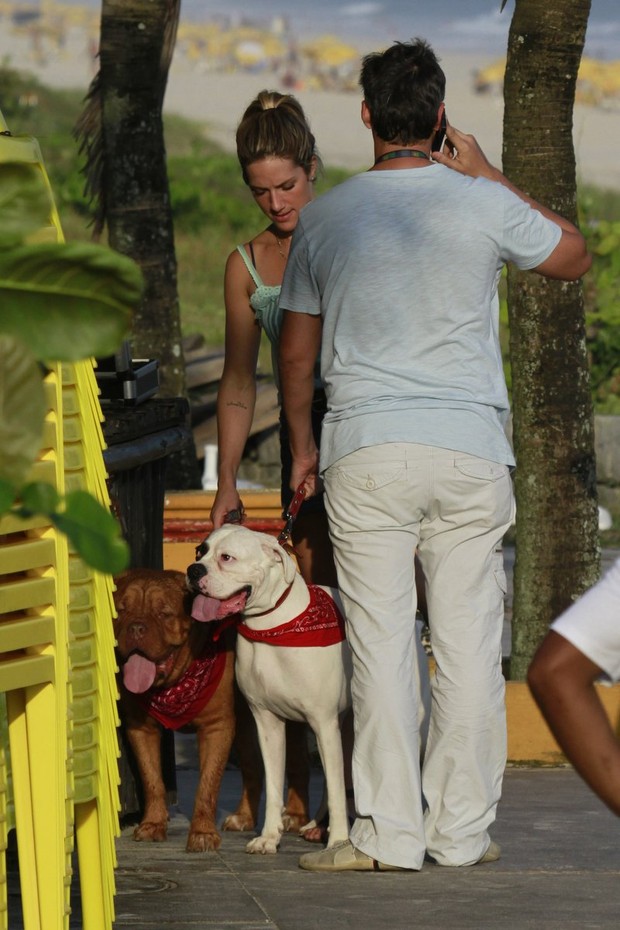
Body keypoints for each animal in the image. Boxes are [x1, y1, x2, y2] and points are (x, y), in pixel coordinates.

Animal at [185, 524, 354, 852]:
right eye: (200, 551)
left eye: (227, 557)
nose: (193, 570)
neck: (271, 626)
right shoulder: (268, 722)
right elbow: (275, 784)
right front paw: (269, 836)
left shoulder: (323, 721)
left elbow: (337, 790)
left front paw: (339, 841)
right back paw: (315, 826)